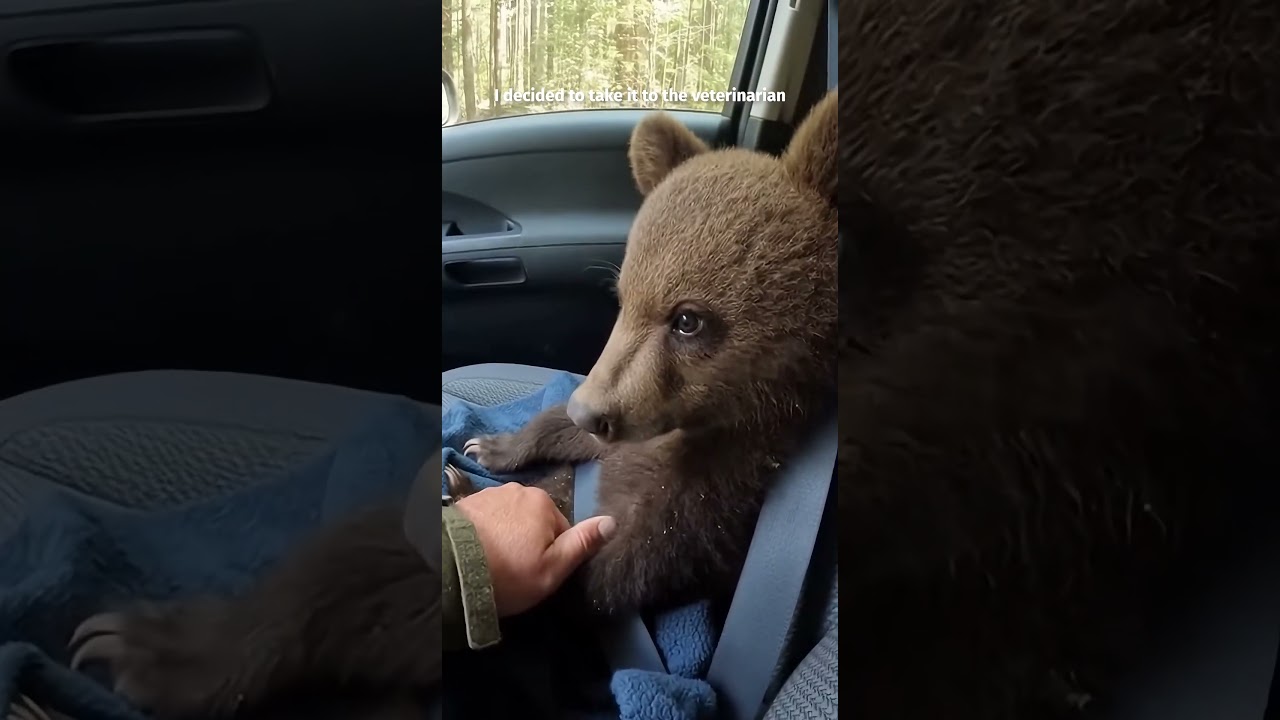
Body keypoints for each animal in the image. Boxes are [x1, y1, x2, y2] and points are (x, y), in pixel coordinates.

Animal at [63, 91, 839, 719]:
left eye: (688, 319)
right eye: (622, 296)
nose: (591, 409)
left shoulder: (706, 503)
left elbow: (590, 570)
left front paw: (147, 648)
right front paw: (491, 446)